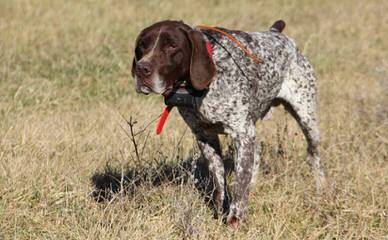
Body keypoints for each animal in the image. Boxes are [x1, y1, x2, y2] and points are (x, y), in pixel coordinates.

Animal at [132, 19, 326, 227]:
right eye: (143, 45)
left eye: (172, 45)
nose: (141, 69)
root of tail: (277, 34)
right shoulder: (205, 136)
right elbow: (219, 179)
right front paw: (219, 211)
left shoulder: (242, 133)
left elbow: (240, 183)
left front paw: (235, 218)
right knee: (256, 155)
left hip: (306, 118)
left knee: (313, 155)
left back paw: (321, 188)